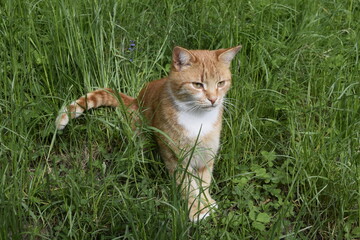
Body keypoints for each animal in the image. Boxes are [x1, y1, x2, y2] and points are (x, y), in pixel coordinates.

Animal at [55, 45, 242, 221]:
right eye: (197, 85)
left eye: (221, 83)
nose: (213, 99)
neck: (197, 119)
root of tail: (135, 100)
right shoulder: (176, 157)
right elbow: (189, 186)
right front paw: (198, 210)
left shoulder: (207, 155)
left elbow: (204, 182)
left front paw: (207, 203)